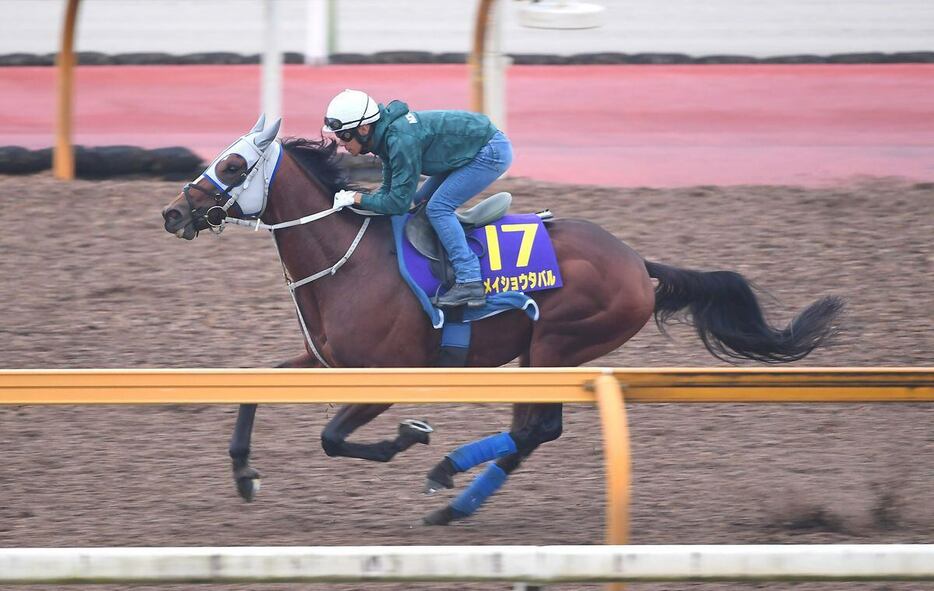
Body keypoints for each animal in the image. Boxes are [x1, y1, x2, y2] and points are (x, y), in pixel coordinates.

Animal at [163, 117, 848, 528]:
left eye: (232, 165)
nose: (173, 213)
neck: (348, 260)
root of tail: (636, 262)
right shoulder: (325, 360)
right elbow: (255, 382)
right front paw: (244, 474)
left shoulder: (390, 374)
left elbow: (333, 438)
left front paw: (409, 437)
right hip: (540, 356)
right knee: (533, 431)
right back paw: (454, 498)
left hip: (556, 345)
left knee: (537, 429)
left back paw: (447, 479)